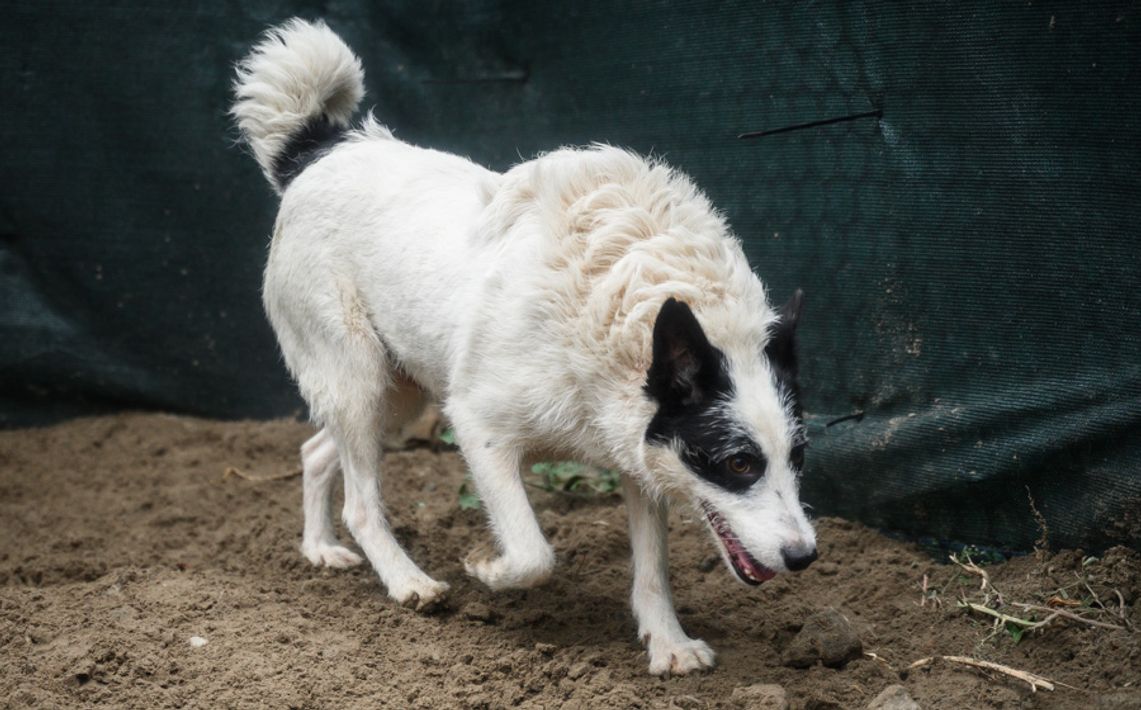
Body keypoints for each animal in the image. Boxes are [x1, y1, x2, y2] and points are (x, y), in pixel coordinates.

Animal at [232, 19, 817, 676]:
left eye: (798, 457)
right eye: (739, 463)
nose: (805, 557)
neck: (617, 297)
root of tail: (318, 151)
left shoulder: (636, 449)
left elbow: (652, 571)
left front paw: (668, 643)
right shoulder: (479, 427)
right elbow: (535, 554)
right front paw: (486, 568)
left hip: (397, 392)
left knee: (314, 452)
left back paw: (319, 548)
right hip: (357, 375)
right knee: (360, 502)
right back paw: (409, 582)